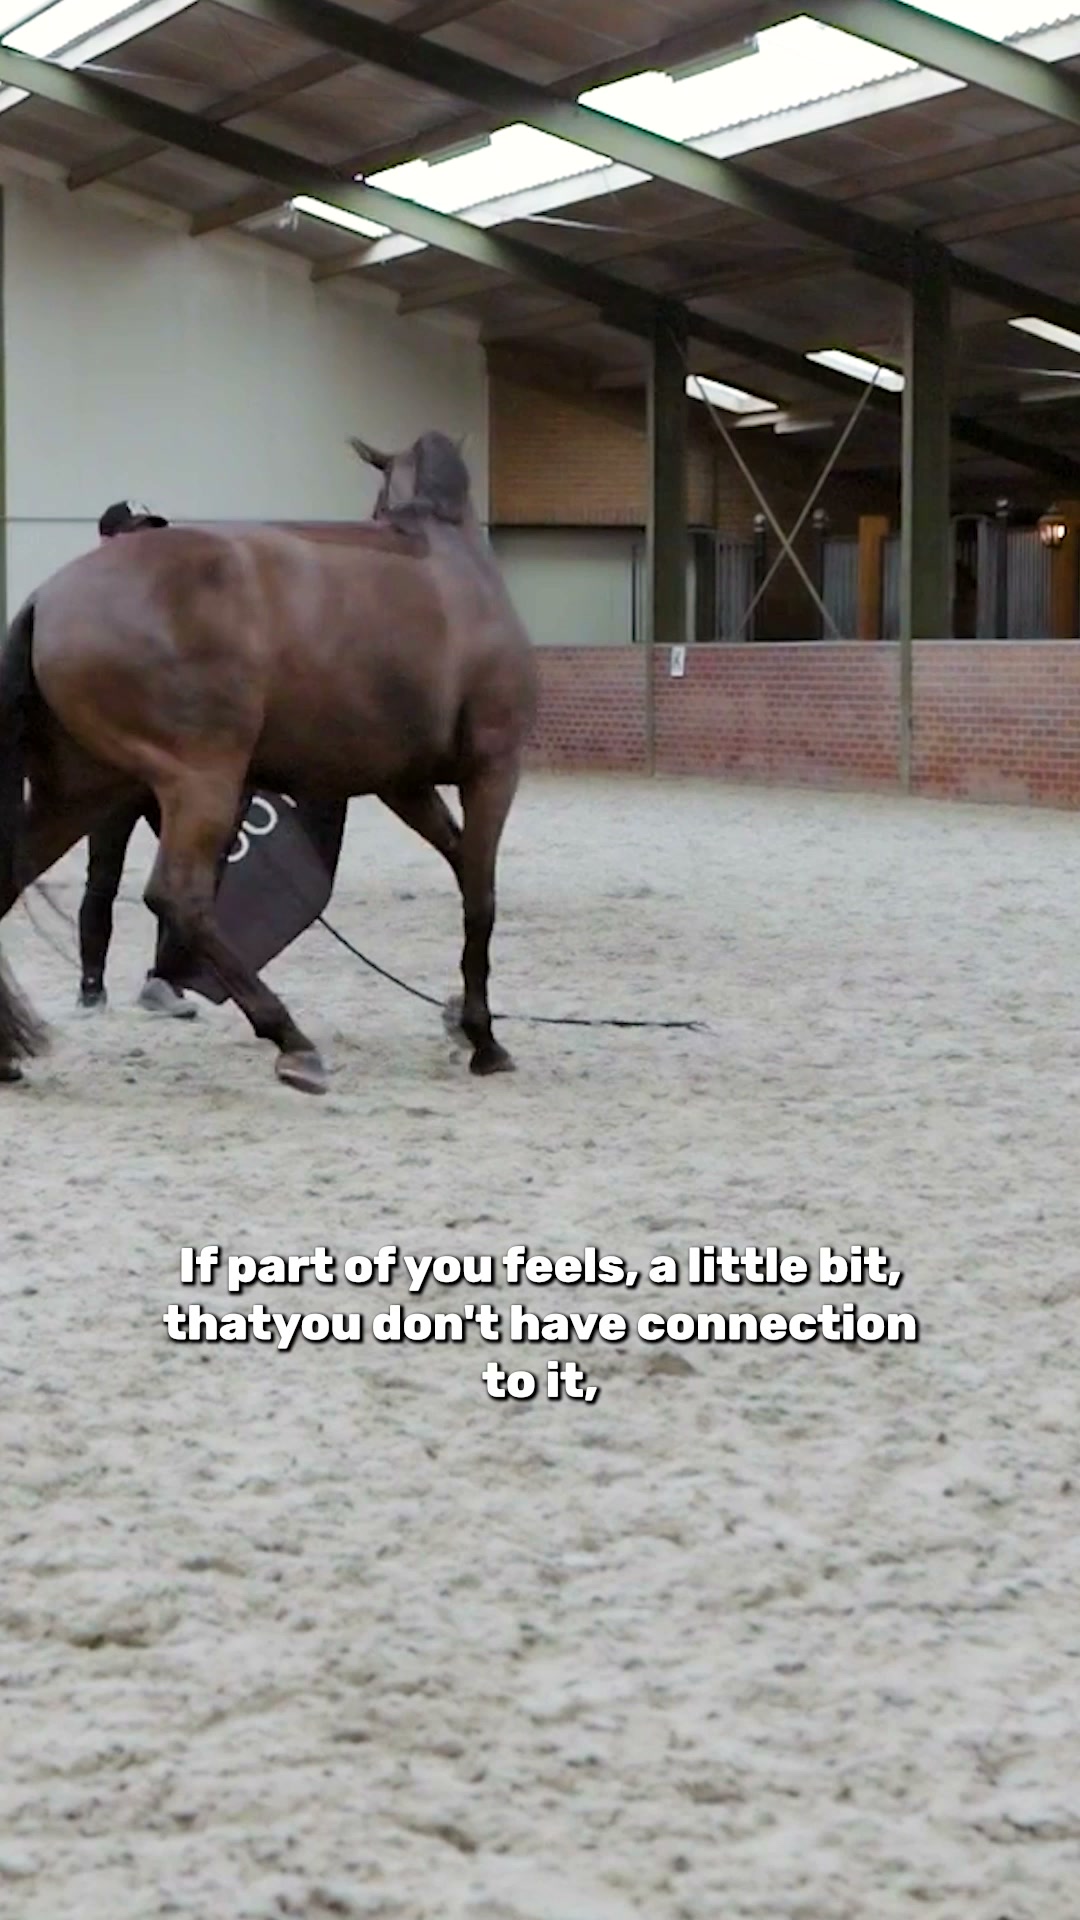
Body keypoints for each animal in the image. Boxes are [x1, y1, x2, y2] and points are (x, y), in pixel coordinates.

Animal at [0, 429, 537, 1094]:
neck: (450, 558)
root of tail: (47, 599)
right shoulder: (493, 767)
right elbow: (481, 897)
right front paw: (484, 1039)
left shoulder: (405, 785)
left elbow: (464, 869)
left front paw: (459, 1019)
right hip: (200, 780)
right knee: (179, 898)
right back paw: (292, 1042)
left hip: (80, 791)